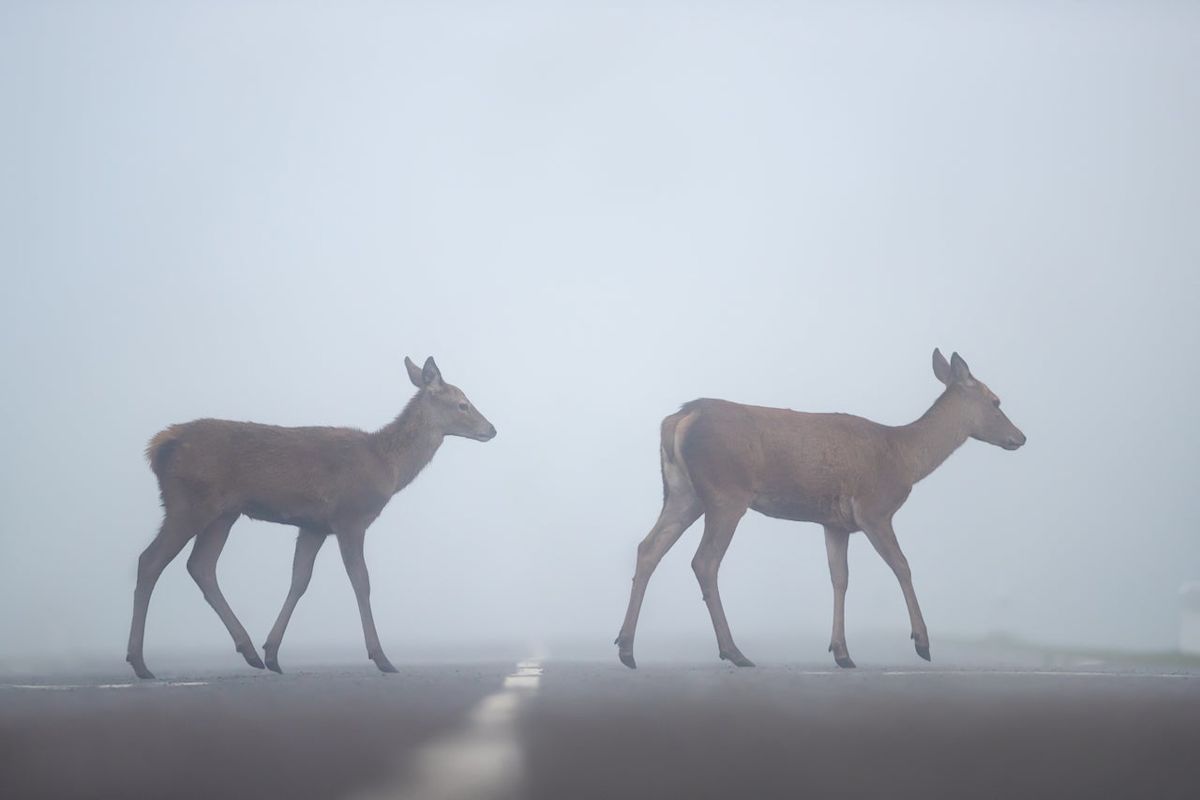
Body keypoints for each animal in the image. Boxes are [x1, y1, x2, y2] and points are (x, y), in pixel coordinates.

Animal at [126, 357, 496, 679]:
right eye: (462, 404)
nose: (491, 428)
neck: (387, 467)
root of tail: (159, 446)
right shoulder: (349, 517)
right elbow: (361, 582)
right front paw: (382, 658)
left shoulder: (313, 526)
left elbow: (299, 580)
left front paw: (273, 652)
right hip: (188, 502)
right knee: (150, 560)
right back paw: (139, 662)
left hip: (223, 513)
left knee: (201, 566)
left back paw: (249, 650)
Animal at [615, 349, 1025, 670]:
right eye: (996, 401)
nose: (1020, 437)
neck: (905, 458)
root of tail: (679, 419)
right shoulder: (875, 509)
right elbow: (902, 566)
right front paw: (922, 642)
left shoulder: (835, 523)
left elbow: (839, 578)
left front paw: (842, 652)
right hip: (725, 493)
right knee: (704, 561)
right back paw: (733, 651)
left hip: (683, 494)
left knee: (649, 548)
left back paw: (627, 648)